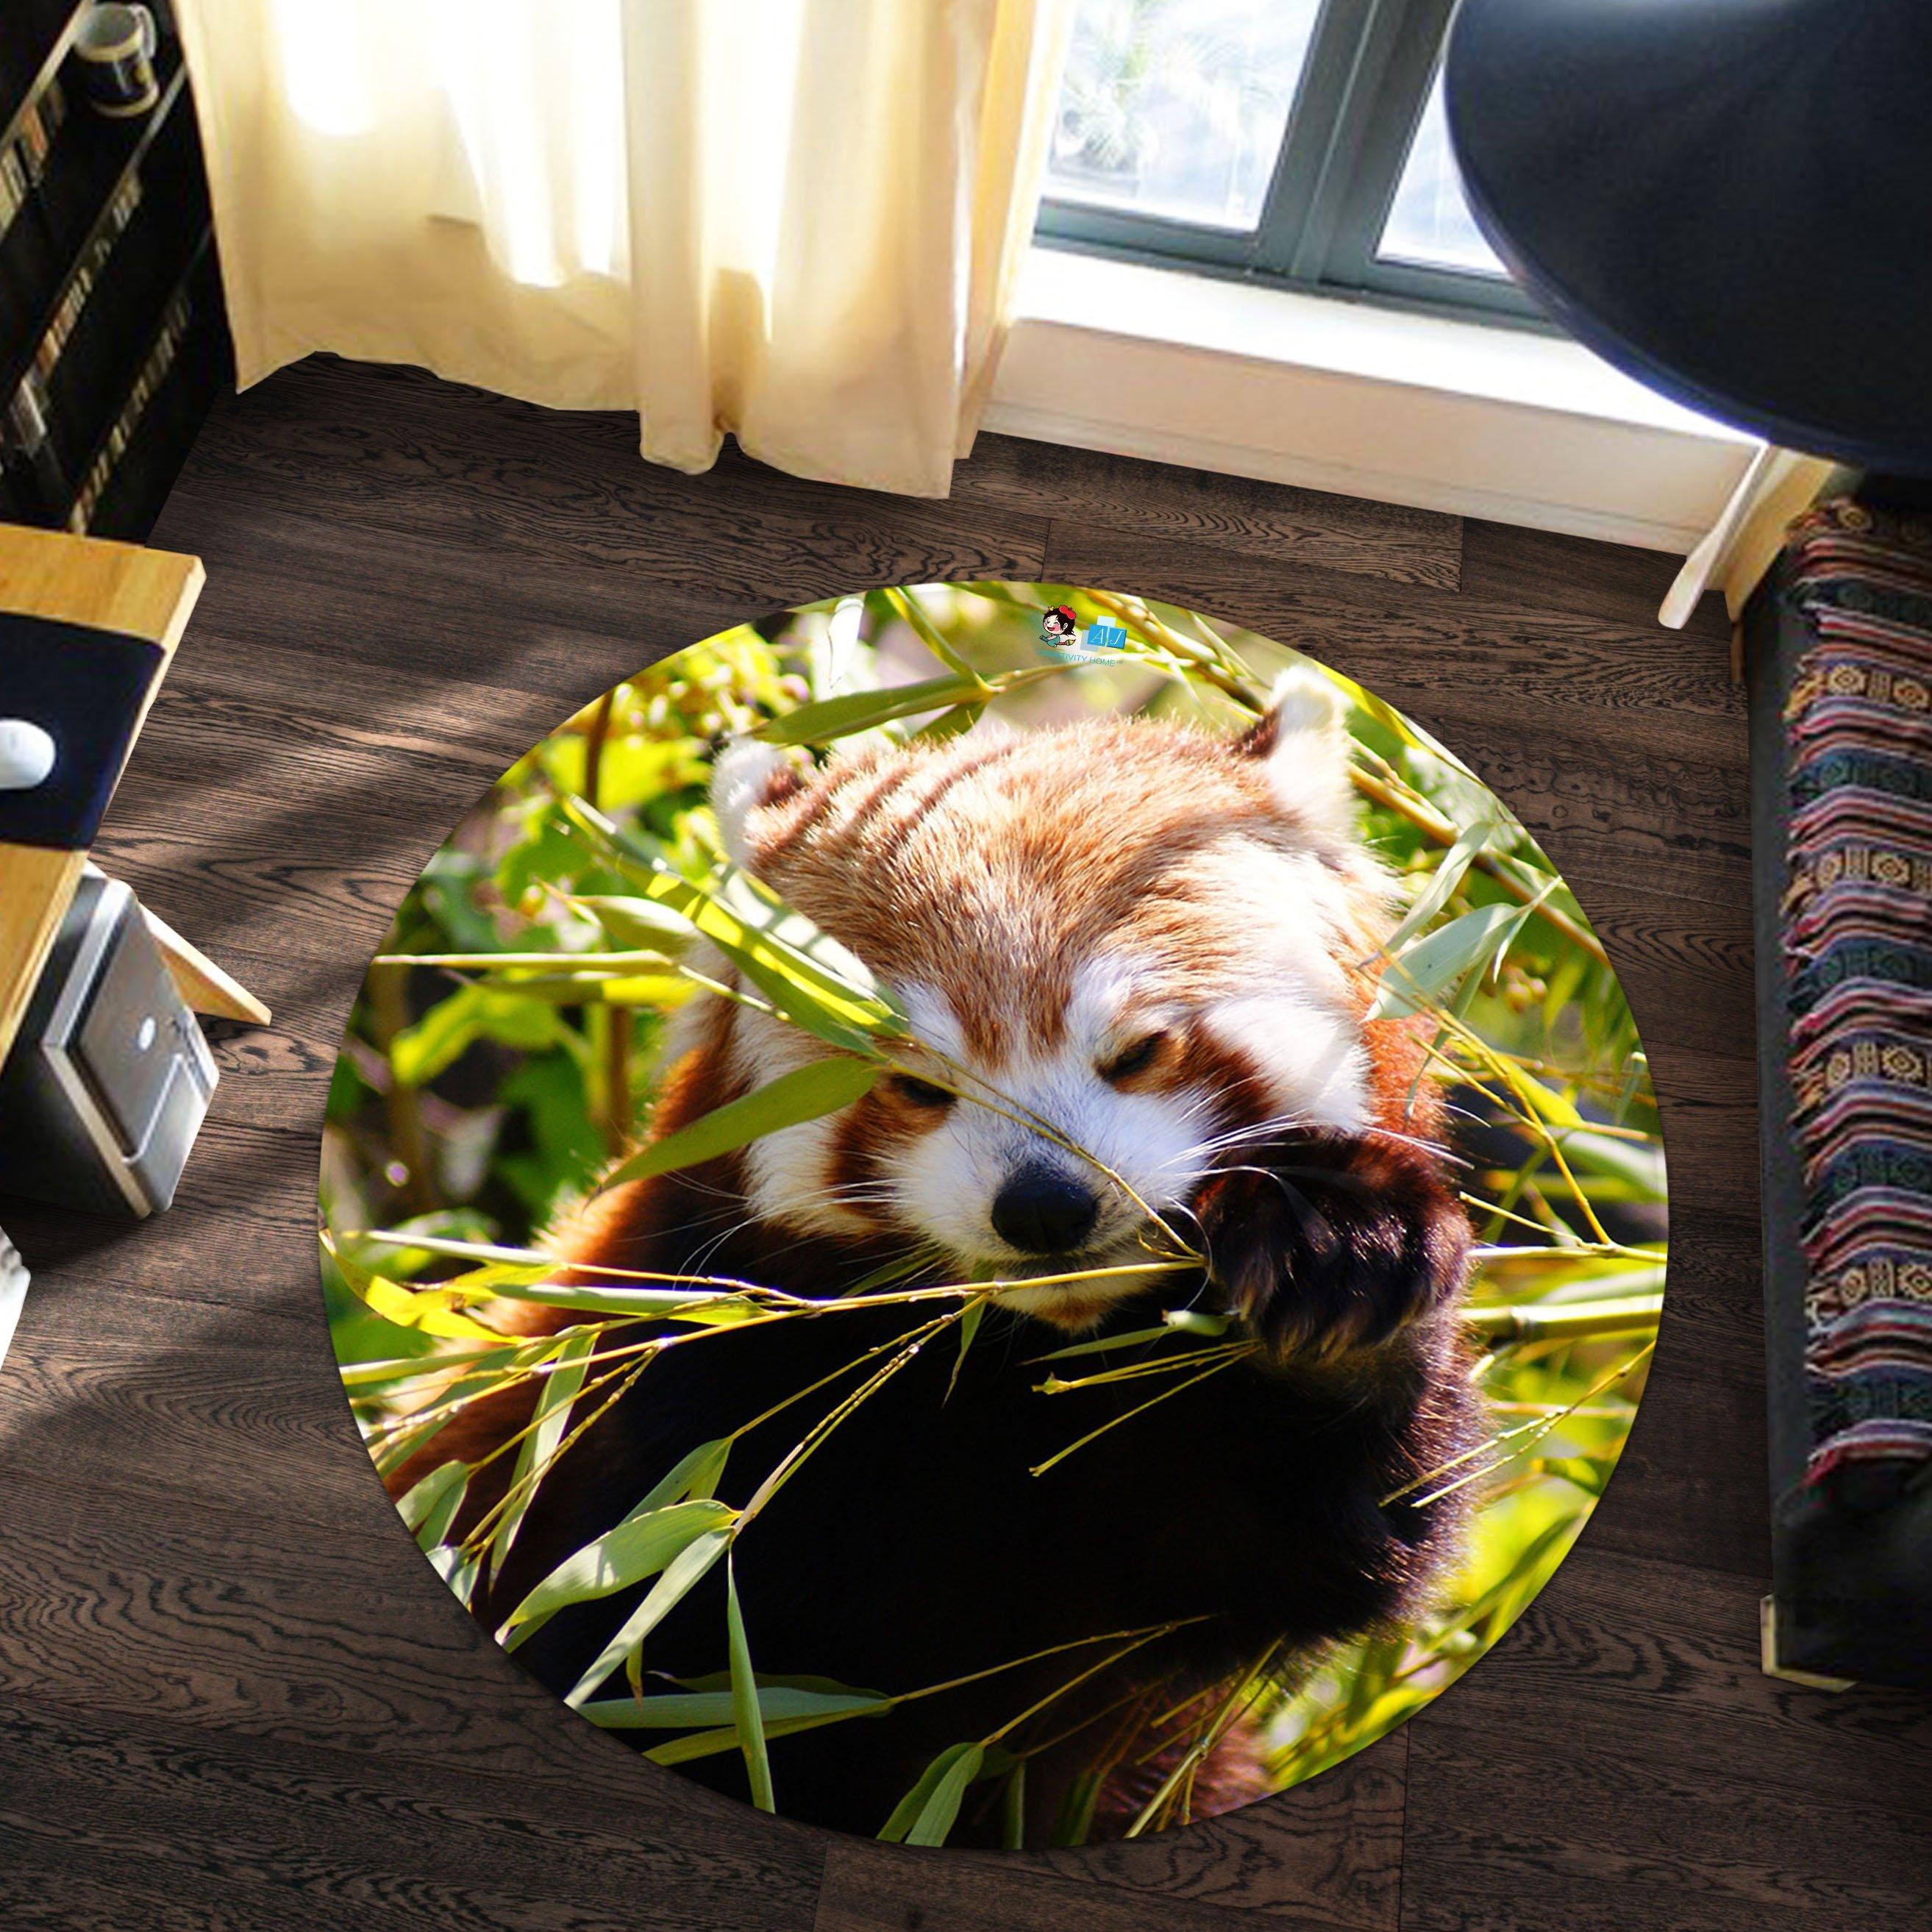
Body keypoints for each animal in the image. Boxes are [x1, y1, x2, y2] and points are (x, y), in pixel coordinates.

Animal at [391, 669, 1477, 1844]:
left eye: (1139, 1048)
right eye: (916, 1084)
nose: (1044, 1206)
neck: (1018, 1381)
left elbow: (1338, 1531)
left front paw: (1339, 1260)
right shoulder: (668, 1407)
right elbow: (633, 1635)